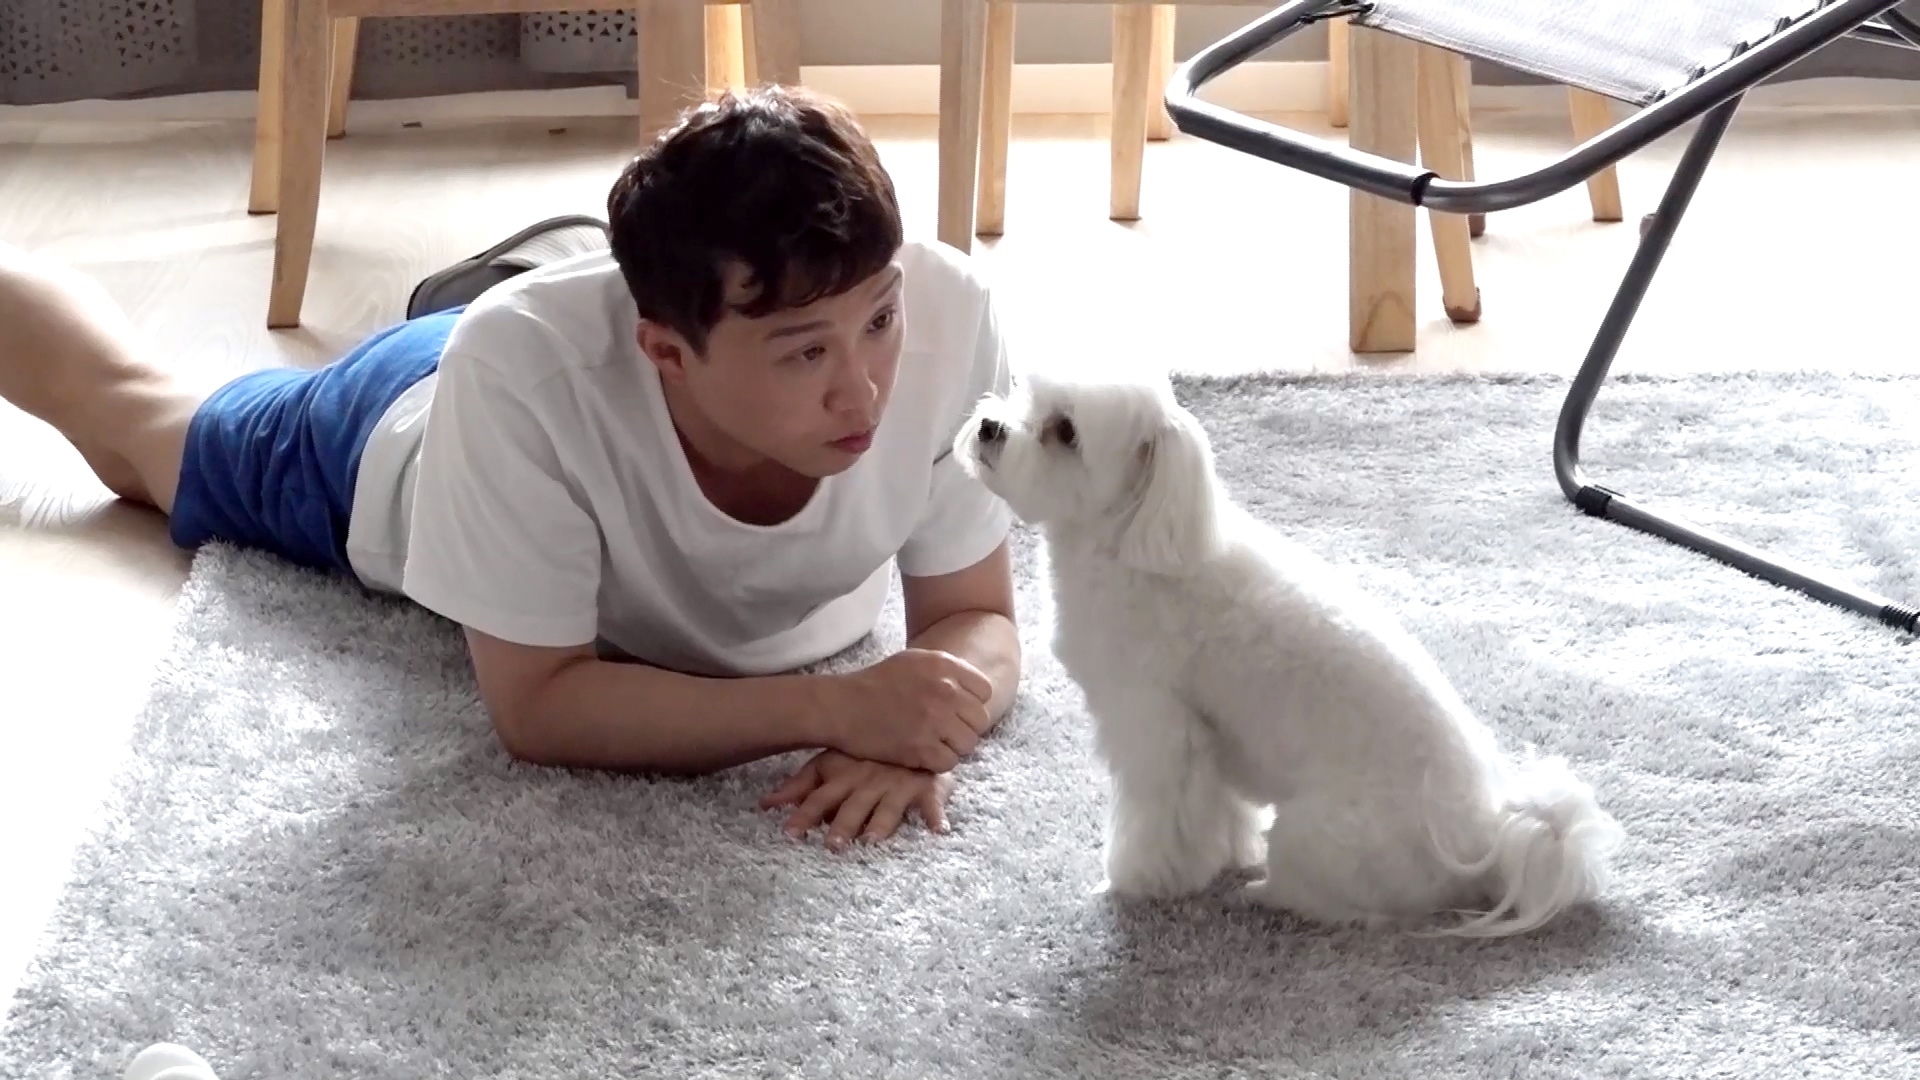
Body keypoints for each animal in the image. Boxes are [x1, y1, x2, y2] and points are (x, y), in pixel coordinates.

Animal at [953, 369, 1625, 937]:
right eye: (1023, 390)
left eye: (1065, 432)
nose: (989, 427)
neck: (1134, 539)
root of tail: (1489, 841)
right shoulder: (1204, 736)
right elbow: (1215, 811)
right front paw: (1218, 855)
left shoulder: (1153, 729)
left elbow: (1154, 821)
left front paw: (1139, 882)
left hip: (1315, 837)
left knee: (1354, 910)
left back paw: (1262, 893)